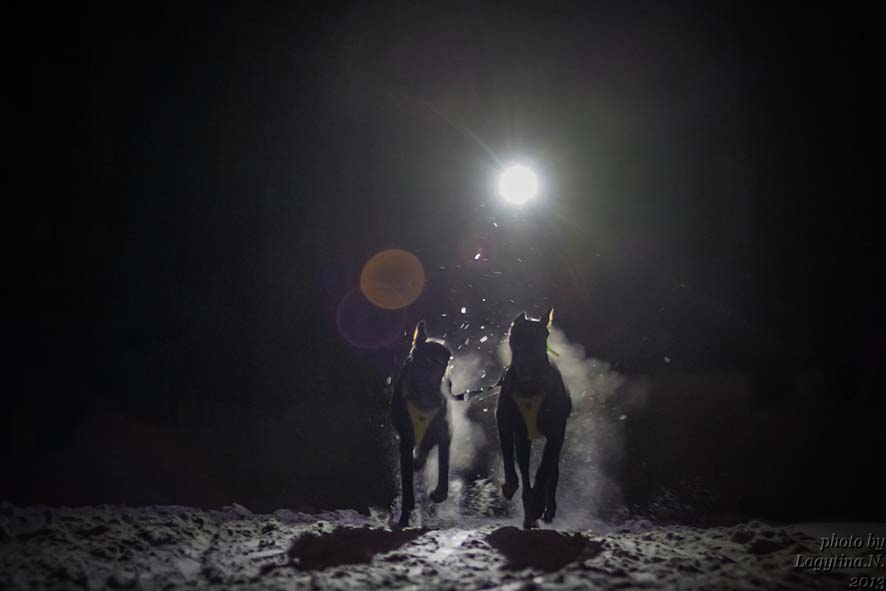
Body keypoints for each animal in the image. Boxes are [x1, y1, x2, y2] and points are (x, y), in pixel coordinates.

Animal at [390, 321, 454, 527]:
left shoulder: (444, 432)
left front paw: (439, 493)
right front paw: (404, 516)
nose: (438, 396)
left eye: (445, 363)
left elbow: (443, 465)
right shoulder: (406, 439)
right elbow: (407, 484)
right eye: (427, 362)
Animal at [495, 308, 572, 528]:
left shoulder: (556, 432)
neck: (529, 387)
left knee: (552, 472)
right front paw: (511, 486)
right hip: (523, 438)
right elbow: (509, 458)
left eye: (545, 335)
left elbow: (544, 469)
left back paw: (546, 508)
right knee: (524, 467)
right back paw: (529, 512)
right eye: (521, 335)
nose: (538, 366)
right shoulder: (506, 424)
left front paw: (539, 503)